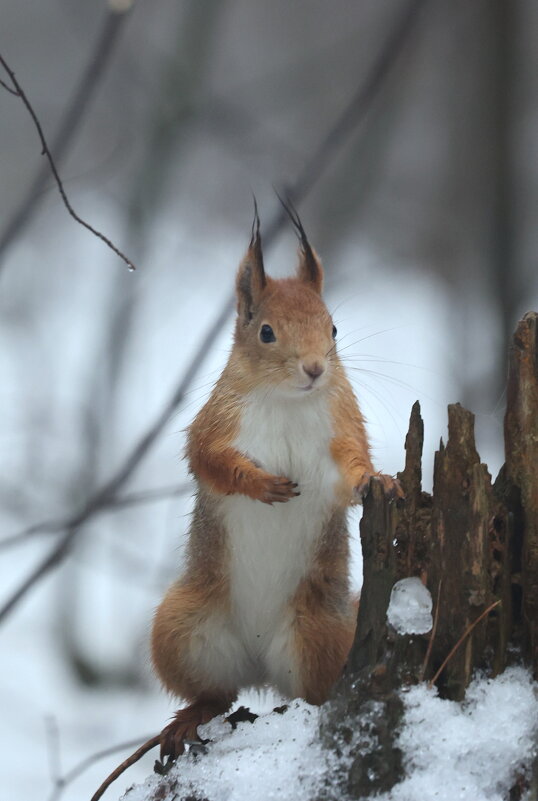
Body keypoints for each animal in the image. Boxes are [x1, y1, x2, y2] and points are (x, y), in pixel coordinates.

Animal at [151, 200, 398, 756]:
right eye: (266, 332)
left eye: (333, 328)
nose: (314, 369)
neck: (289, 400)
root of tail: (259, 664)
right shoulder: (217, 424)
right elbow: (208, 460)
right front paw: (258, 484)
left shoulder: (339, 427)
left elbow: (349, 471)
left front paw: (377, 480)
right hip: (180, 630)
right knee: (218, 694)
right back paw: (190, 717)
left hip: (320, 634)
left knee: (311, 688)